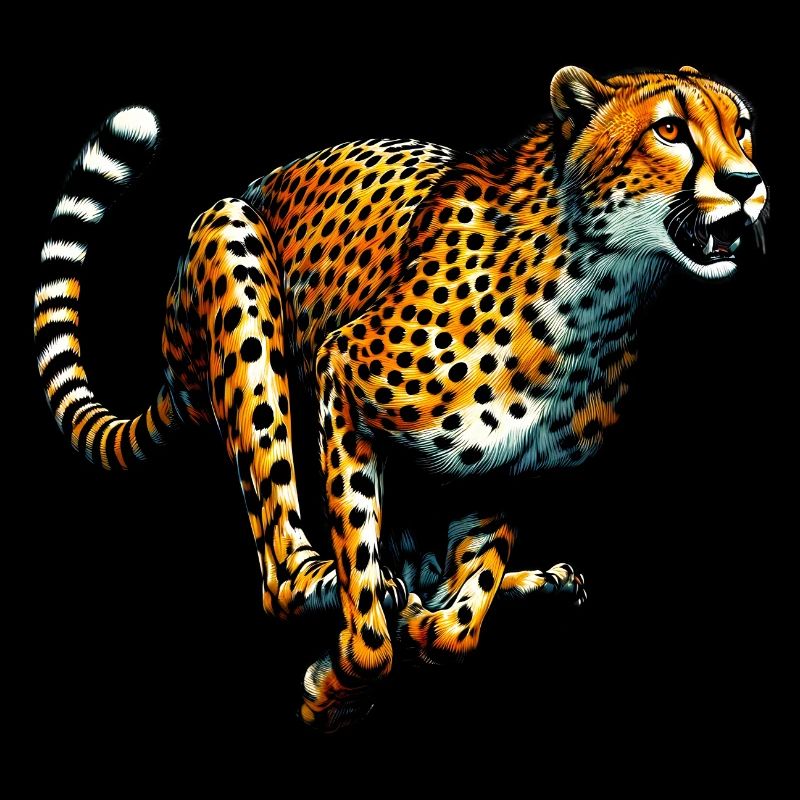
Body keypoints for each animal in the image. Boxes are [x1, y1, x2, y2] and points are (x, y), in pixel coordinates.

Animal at [34, 65, 766, 731]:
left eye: (742, 127)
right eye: (669, 130)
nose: (747, 183)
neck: (604, 291)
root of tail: (172, 369)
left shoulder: (501, 470)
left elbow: (461, 620)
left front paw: (432, 620)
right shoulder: (342, 373)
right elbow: (366, 605)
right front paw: (335, 690)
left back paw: (525, 586)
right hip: (232, 249)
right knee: (282, 572)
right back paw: (334, 581)